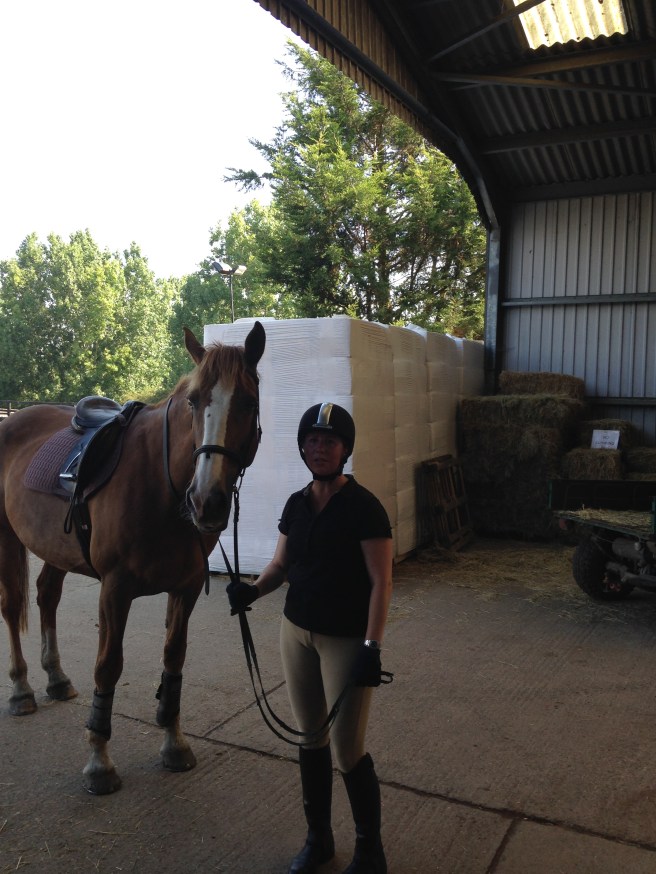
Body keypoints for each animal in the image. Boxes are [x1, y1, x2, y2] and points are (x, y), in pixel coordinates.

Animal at [0, 321, 265, 794]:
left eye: (248, 402)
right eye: (194, 401)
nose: (207, 501)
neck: (162, 484)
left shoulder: (186, 588)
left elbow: (173, 658)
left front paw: (174, 742)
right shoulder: (115, 589)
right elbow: (108, 667)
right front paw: (99, 761)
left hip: (56, 547)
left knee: (46, 596)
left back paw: (56, 678)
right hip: (7, 534)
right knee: (13, 607)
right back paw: (21, 690)